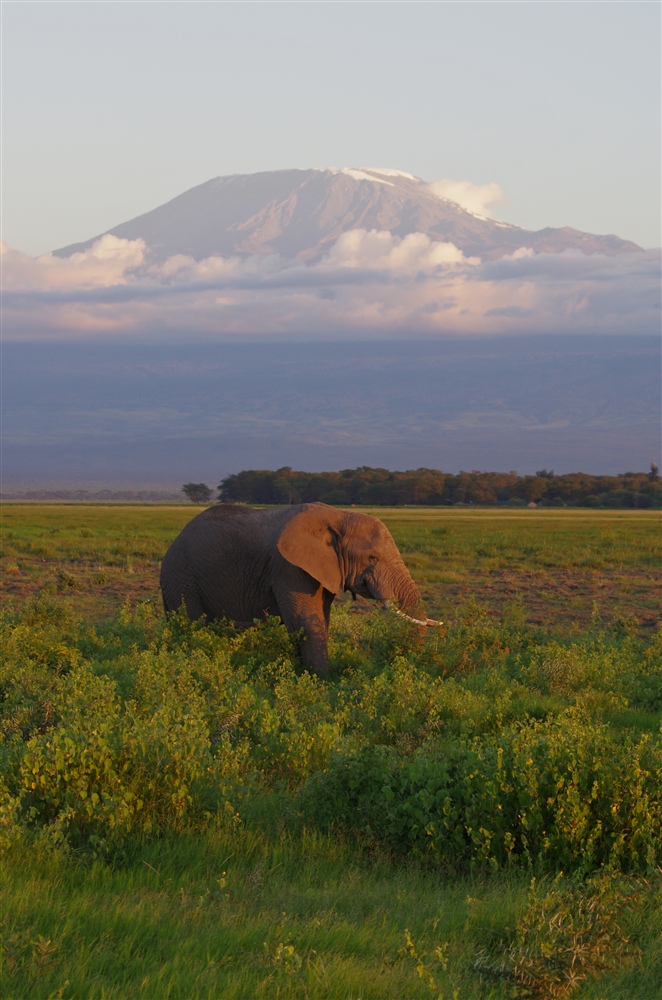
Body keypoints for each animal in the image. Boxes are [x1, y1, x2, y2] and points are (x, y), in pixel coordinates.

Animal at [160, 504, 440, 676]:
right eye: (372, 558)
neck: (338, 516)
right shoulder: (289, 568)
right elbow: (305, 621)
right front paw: (322, 680)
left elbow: (319, 621)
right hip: (181, 578)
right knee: (192, 624)